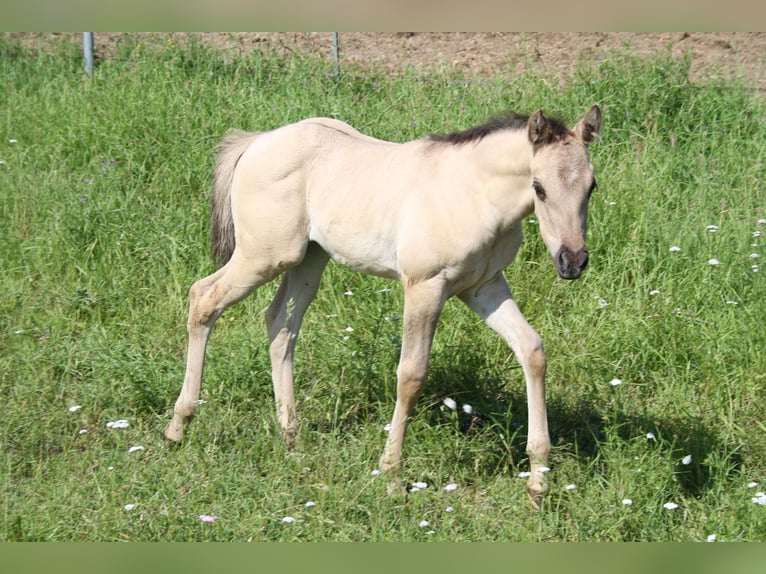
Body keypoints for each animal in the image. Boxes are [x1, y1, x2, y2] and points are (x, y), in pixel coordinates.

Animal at [165, 106, 604, 506]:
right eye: (539, 187)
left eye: (592, 186)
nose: (572, 261)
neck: (473, 193)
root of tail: (256, 142)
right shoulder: (425, 287)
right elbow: (411, 375)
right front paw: (392, 476)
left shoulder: (484, 286)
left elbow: (532, 350)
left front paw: (539, 479)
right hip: (264, 256)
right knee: (203, 299)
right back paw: (178, 427)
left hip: (308, 259)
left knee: (280, 325)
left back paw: (290, 434)